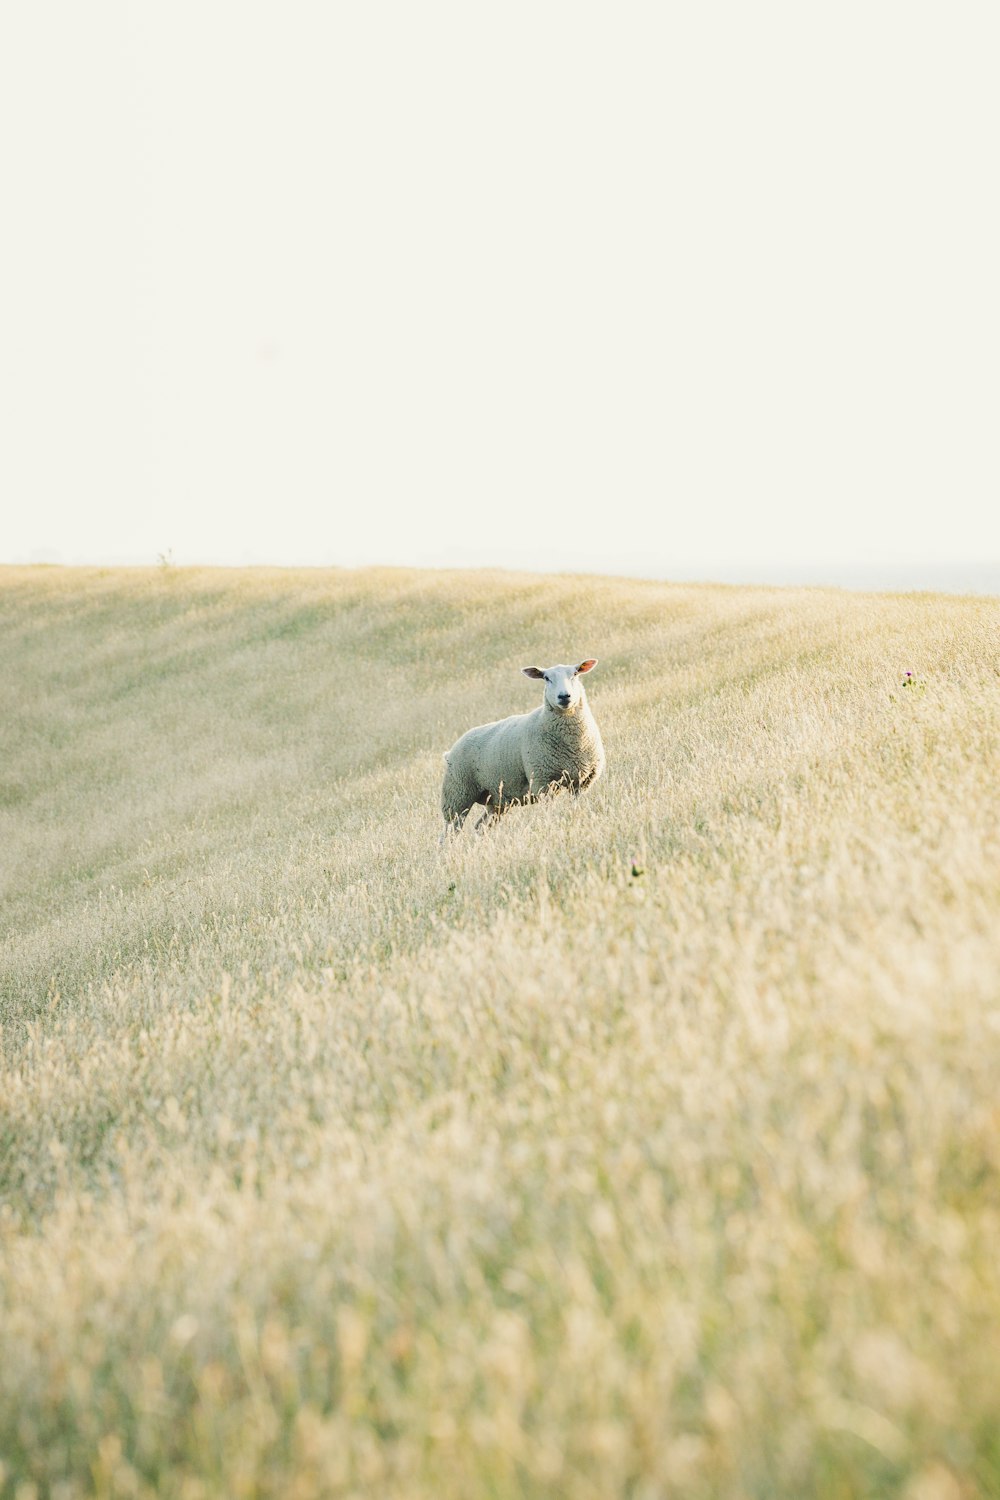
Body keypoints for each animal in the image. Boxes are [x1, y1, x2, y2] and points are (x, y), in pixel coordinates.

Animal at [440, 660, 602, 840]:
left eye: (575, 674)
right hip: (457, 795)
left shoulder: (581, 782)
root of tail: (450, 752)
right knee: (449, 833)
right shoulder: (543, 783)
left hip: (496, 800)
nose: (564, 696)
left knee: (480, 826)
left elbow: (575, 807)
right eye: (546, 678)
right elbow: (550, 813)